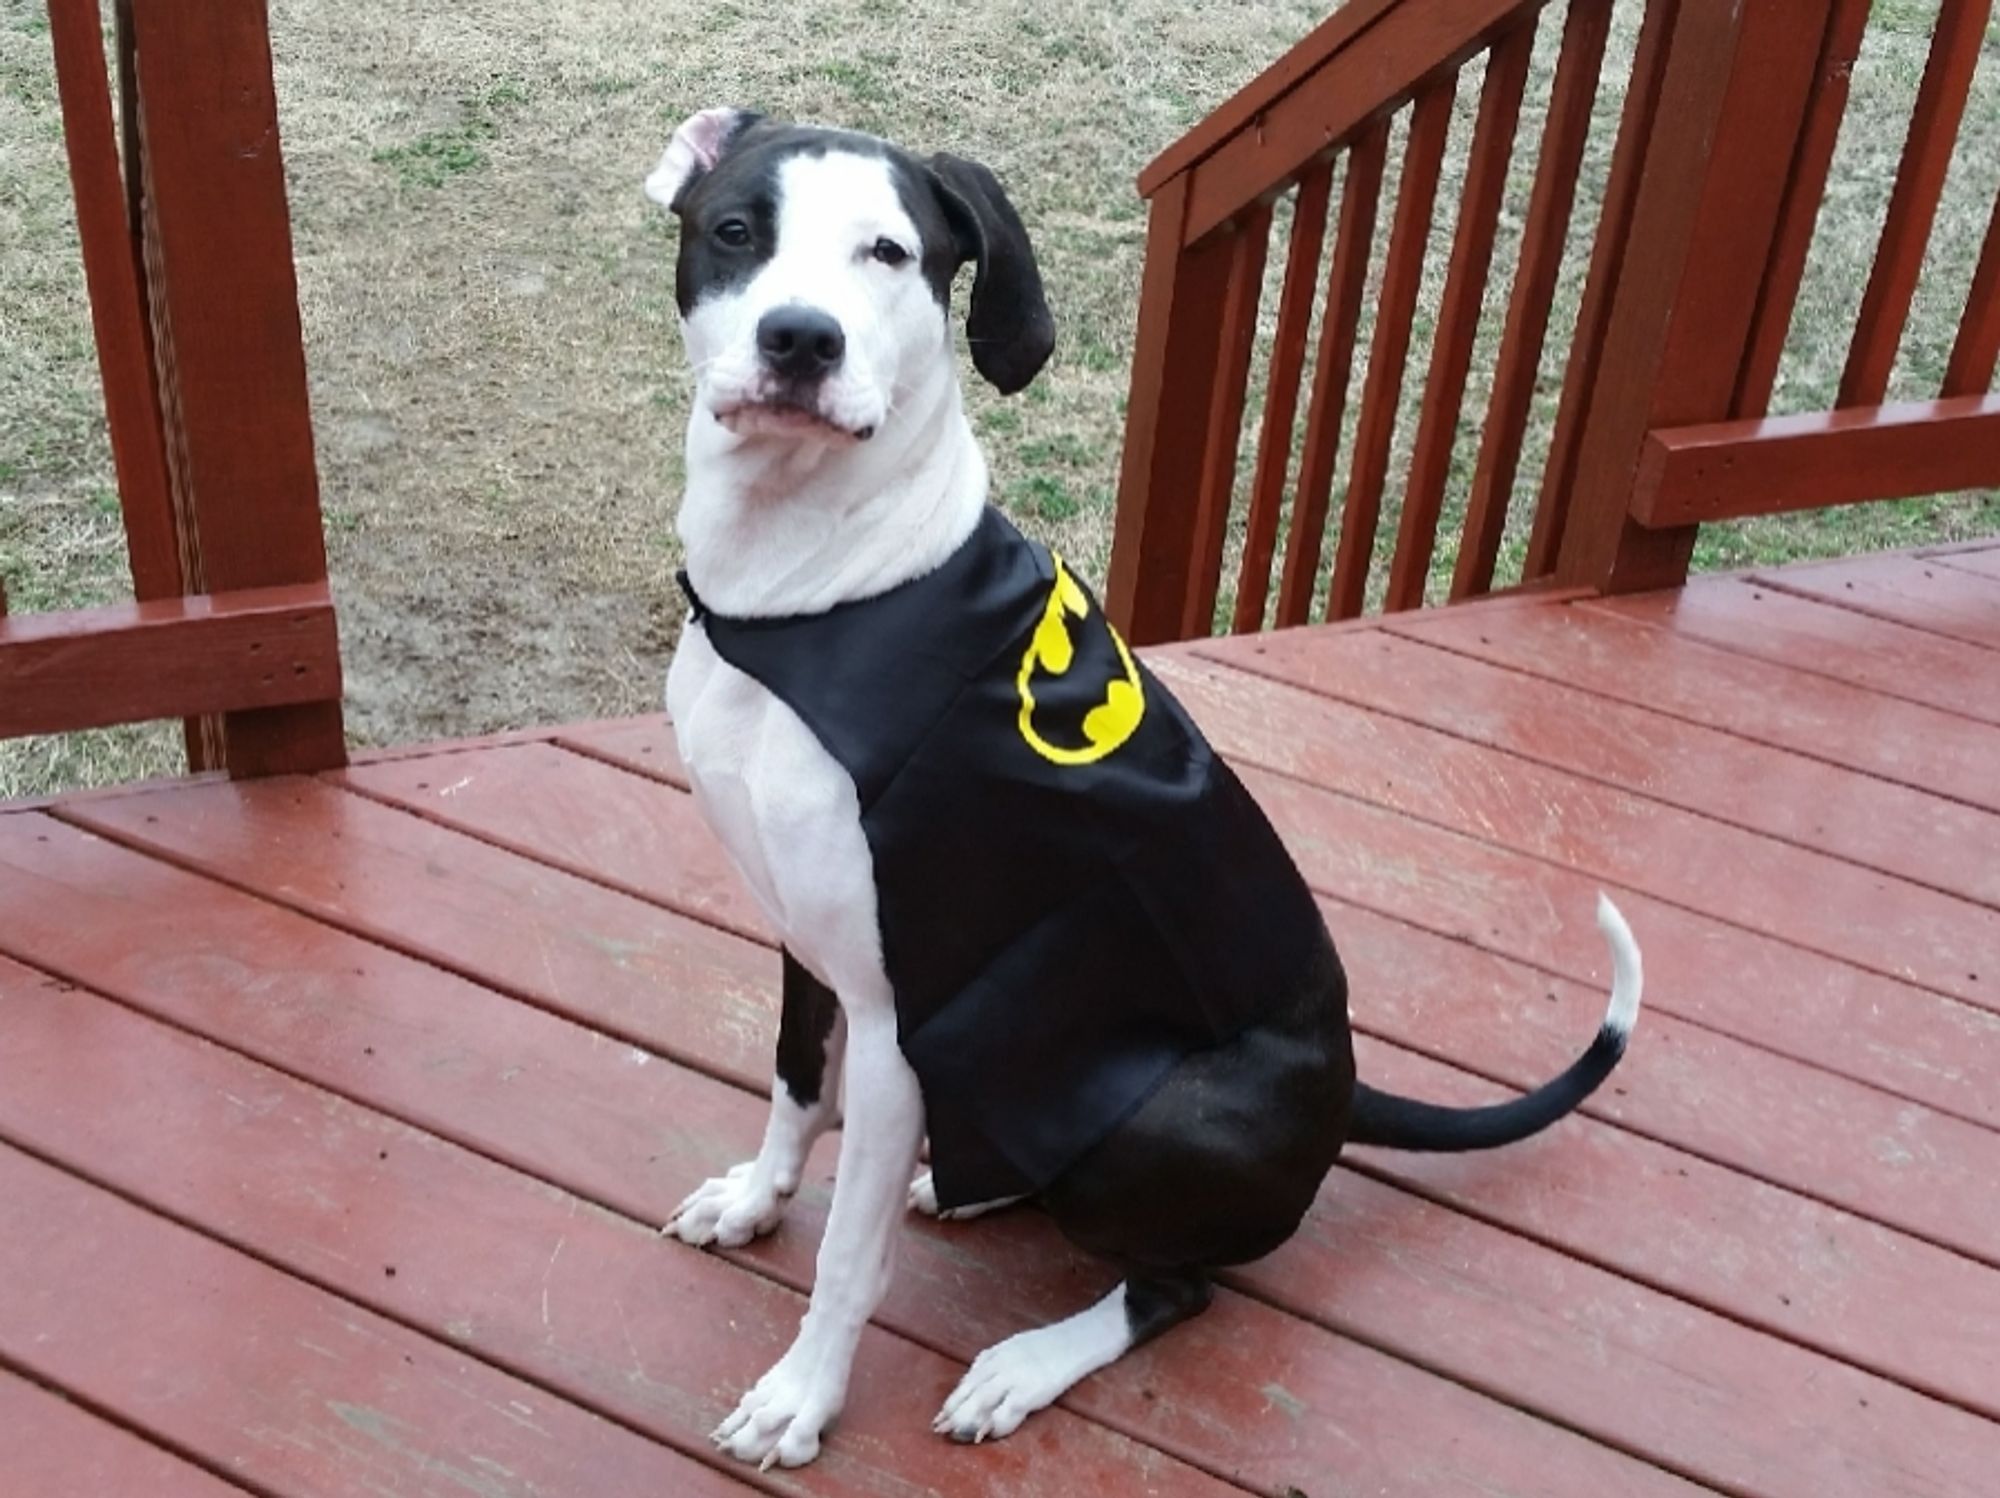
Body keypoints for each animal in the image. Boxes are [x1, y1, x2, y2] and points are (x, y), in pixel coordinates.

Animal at [644, 111, 1640, 1464]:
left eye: (889, 252)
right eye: (737, 228)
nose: (800, 339)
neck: (815, 593)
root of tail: (1342, 1091)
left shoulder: (910, 1006)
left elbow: (849, 1253)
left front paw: (804, 1394)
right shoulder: (809, 939)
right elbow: (797, 1091)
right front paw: (756, 1197)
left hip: (1165, 1117)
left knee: (1179, 1282)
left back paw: (1024, 1360)